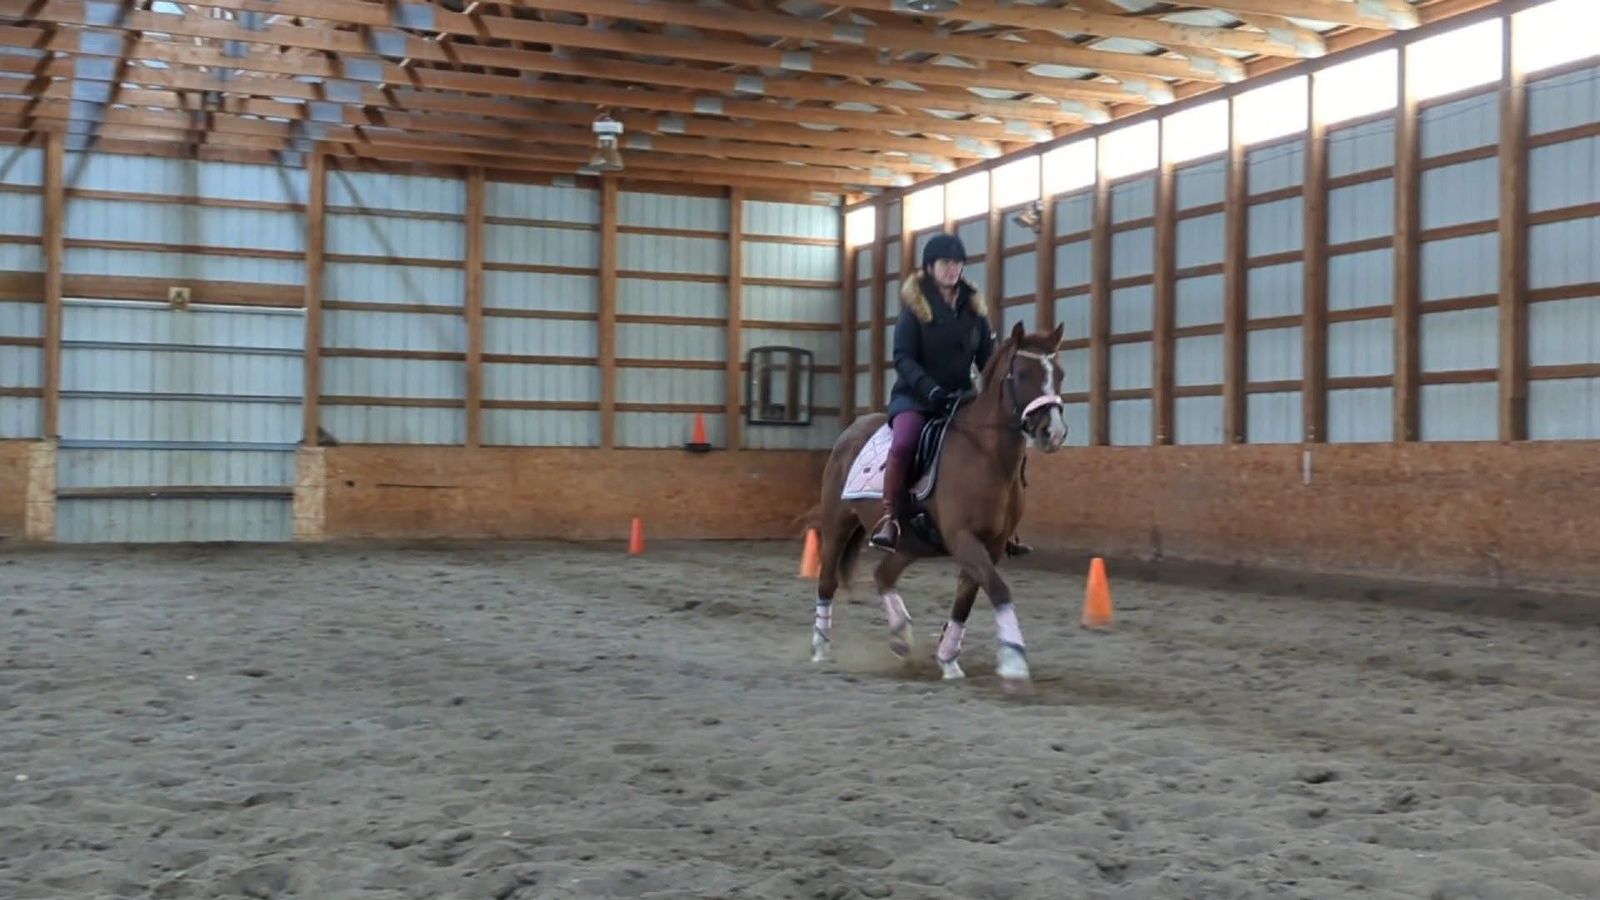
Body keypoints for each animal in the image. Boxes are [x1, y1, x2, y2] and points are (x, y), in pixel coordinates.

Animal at [806, 320, 1068, 692]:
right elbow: (999, 590)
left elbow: (965, 601)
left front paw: (948, 659)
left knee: (882, 574)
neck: (986, 456)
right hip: (837, 524)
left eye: (1058, 374)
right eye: (1020, 374)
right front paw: (1014, 662)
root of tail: (850, 431)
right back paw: (820, 648)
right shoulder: (963, 539)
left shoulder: (991, 545)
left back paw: (901, 637)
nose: (1053, 433)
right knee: (827, 580)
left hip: (909, 542)